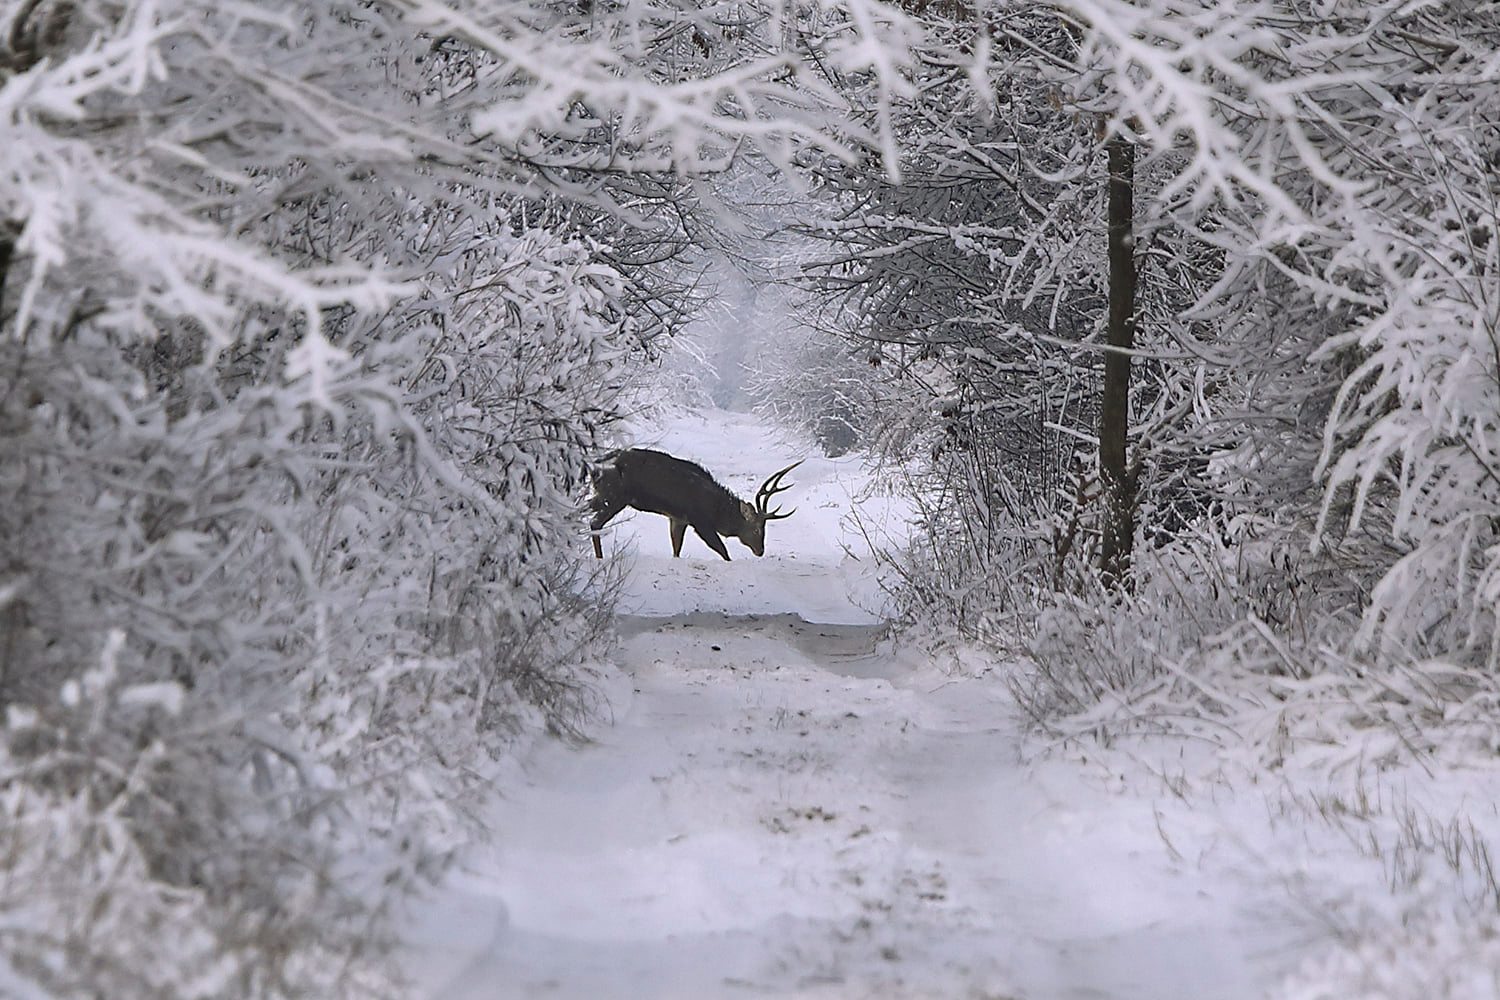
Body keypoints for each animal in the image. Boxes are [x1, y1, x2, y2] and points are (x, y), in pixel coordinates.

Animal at [588, 449, 804, 560]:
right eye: (757, 529)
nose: (760, 551)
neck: (717, 511)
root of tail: (593, 466)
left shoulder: (678, 519)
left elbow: (676, 548)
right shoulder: (699, 521)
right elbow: (722, 550)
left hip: (604, 496)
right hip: (614, 496)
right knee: (594, 522)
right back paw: (599, 558)